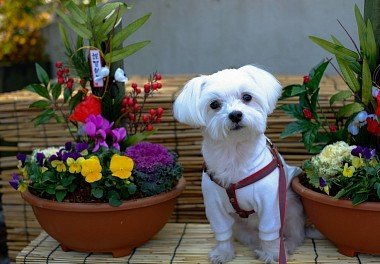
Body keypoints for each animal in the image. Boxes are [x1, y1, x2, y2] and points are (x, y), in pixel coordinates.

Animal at [174, 65, 306, 262]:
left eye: (247, 97)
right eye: (214, 104)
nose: (235, 114)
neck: (234, 153)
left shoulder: (269, 203)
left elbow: (270, 232)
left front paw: (272, 255)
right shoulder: (214, 205)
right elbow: (223, 233)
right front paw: (223, 254)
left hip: (290, 207)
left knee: (294, 234)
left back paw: (285, 246)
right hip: (241, 226)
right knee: (249, 236)